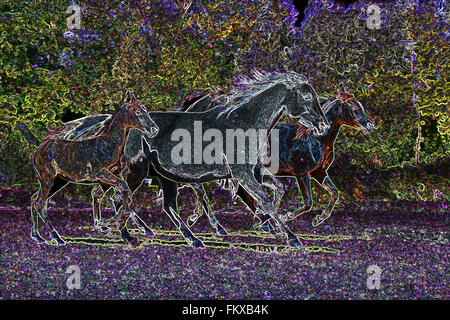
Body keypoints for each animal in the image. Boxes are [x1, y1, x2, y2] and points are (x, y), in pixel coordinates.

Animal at [19, 91, 160, 246]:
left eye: (145, 109)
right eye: (138, 111)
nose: (154, 129)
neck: (109, 145)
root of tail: (40, 146)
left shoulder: (112, 176)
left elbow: (121, 192)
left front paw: (124, 232)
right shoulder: (100, 174)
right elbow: (123, 189)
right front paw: (118, 225)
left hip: (58, 181)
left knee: (35, 199)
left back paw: (37, 236)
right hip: (48, 178)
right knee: (40, 203)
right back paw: (56, 237)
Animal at [92, 71, 330, 249]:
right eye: (306, 97)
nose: (324, 125)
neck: (244, 123)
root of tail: (129, 128)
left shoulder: (253, 171)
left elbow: (275, 191)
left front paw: (267, 223)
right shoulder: (241, 173)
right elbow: (264, 201)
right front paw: (291, 237)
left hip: (165, 178)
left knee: (167, 207)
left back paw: (193, 239)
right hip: (135, 173)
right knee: (119, 199)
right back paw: (127, 236)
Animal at [184, 90, 376, 232]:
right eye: (354, 108)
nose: (370, 125)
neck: (313, 139)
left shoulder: (319, 173)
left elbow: (335, 193)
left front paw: (319, 219)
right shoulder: (301, 173)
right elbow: (308, 202)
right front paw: (286, 217)